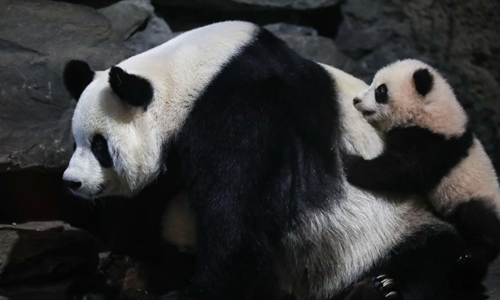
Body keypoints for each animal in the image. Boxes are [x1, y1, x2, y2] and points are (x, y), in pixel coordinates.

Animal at [60, 21, 470, 300]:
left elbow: (239, 215)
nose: (72, 182)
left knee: (436, 259)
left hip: (385, 228)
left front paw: (195, 291)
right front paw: (117, 269)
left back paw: (381, 288)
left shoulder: (241, 108)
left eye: (100, 145)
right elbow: (146, 208)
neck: (189, 72)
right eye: (76, 140)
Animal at [346, 58, 500, 298]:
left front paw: (350, 163)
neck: (430, 109)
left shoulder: (434, 143)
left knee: (478, 223)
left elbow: (403, 171)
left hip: (475, 199)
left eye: (381, 91)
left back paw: (469, 258)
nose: (356, 100)